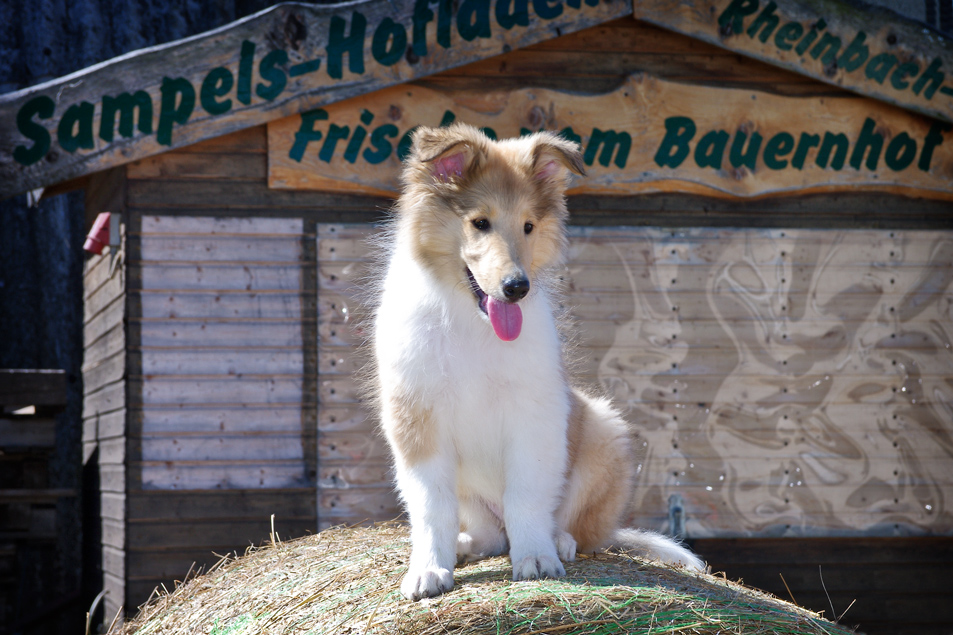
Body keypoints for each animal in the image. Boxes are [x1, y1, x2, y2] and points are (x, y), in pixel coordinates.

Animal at [372, 123, 708, 600]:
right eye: (479, 222)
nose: (517, 288)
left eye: (528, 226)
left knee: (578, 529)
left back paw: (559, 542)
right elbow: (431, 506)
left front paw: (534, 558)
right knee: (492, 533)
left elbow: (527, 495)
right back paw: (466, 545)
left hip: (601, 430)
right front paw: (429, 570)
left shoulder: (534, 415)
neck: (471, 321)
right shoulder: (416, 419)